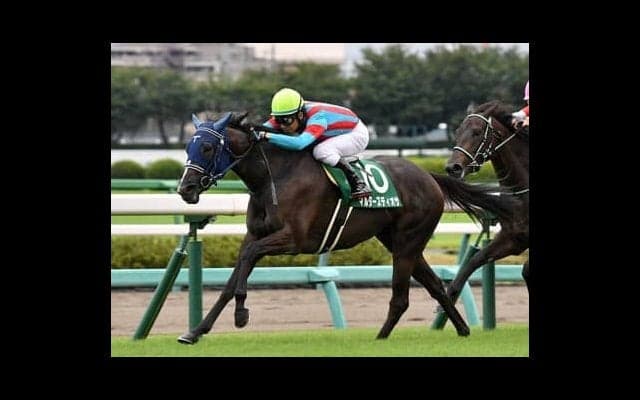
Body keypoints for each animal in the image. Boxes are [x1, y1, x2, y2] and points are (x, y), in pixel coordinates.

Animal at [175, 111, 517, 344]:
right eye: (188, 148)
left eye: (207, 148)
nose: (185, 189)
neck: (275, 175)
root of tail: (429, 176)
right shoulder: (254, 235)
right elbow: (233, 277)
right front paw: (196, 331)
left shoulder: (294, 239)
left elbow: (247, 262)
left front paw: (241, 314)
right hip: (400, 242)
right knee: (434, 285)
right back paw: (462, 329)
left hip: (407, 242)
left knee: (401, 296)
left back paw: (381, 338)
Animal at [443, 100, 529, 307]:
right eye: (457, 131)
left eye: (476, 132)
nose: (452, 168)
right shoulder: (513, 237)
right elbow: (475, 259)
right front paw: (448, 297)